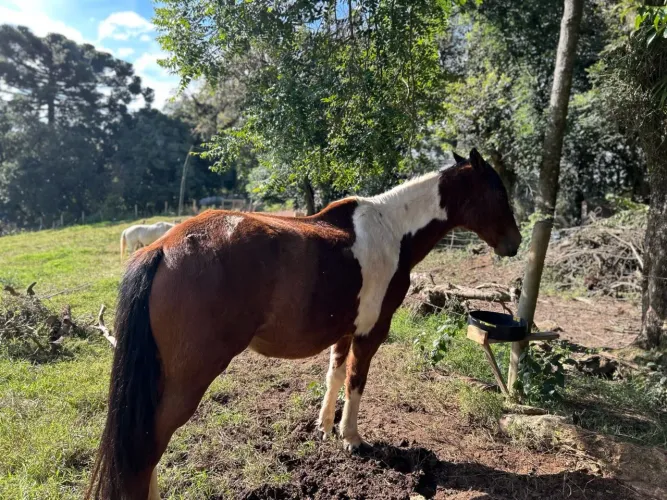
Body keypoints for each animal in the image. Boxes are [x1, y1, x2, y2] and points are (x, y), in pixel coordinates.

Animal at [86, 149, 521, 500]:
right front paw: (351, 438)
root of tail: (162, 247)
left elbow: (335, 376)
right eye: (499, 194)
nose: (515, 243)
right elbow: (356, 382)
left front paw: (325, 428)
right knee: (146, 448)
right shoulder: (370, 334)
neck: (393, 230)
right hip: (186, 380)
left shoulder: (344, 332)